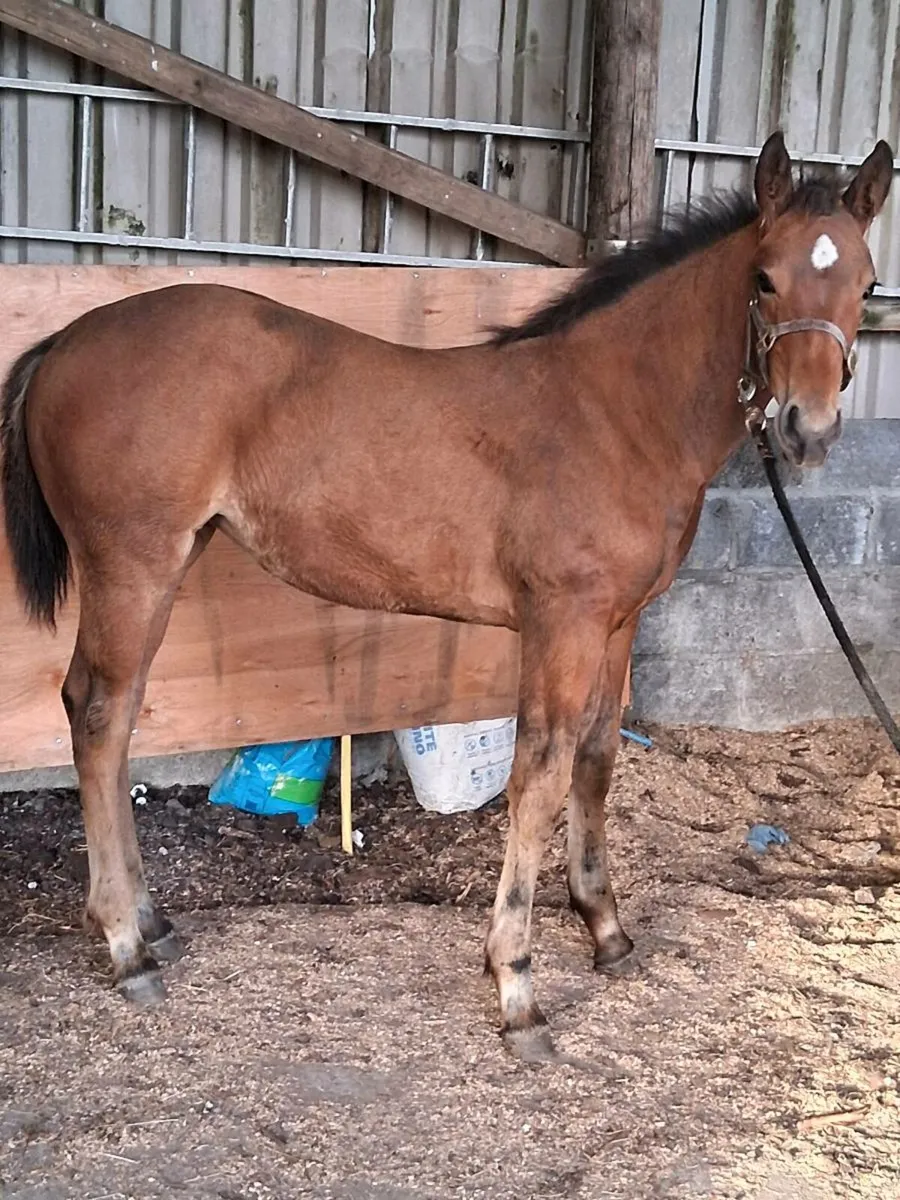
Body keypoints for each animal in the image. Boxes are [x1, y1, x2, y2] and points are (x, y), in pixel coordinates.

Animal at [1, 131, 892, 1061]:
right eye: (764, 277)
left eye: (867, 285)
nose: (808, 431)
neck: (613, 413)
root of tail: (65, 339)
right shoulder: (563, 622)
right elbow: (539, 773)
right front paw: (517, 985)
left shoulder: (618, 622)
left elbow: (597, 758)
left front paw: (606, 929)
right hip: (131, 569)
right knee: (100, 717)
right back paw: (125, 944)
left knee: (114, 715)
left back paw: (149, 920)